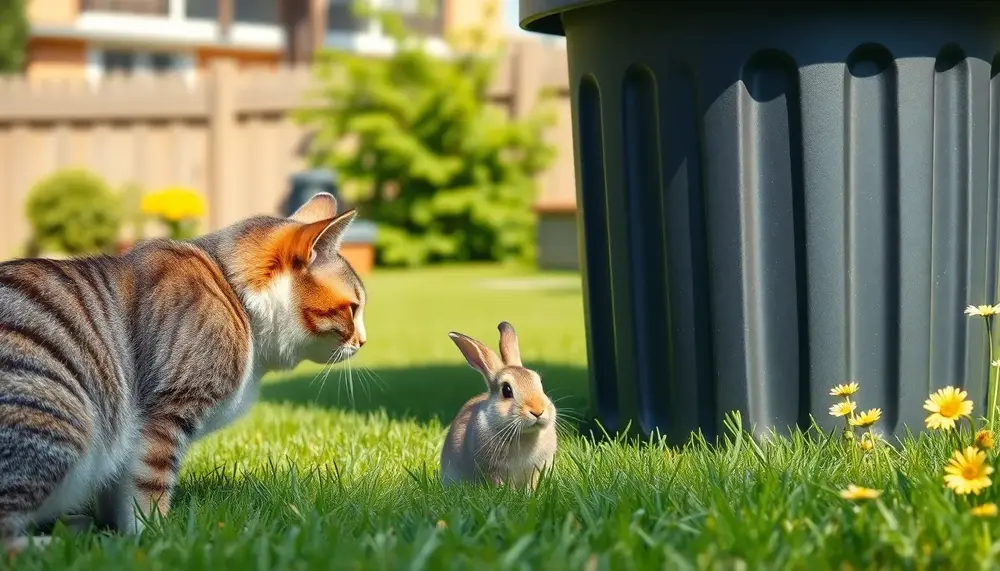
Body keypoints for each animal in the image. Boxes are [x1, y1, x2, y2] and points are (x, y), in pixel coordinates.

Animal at [0, 193, 364, 556]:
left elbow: (114, 487)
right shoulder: (166, 414)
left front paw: (114, 529)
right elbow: (149, 485)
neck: (236, 296)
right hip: (59, 411)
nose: (363, 341)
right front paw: (157, 536)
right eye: (354, 308)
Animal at [442, 322, 560, 492]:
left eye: (539, 383)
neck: (524, 434)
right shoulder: (495, 472)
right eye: (506, 390)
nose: (538, 411)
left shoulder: (535, 470)